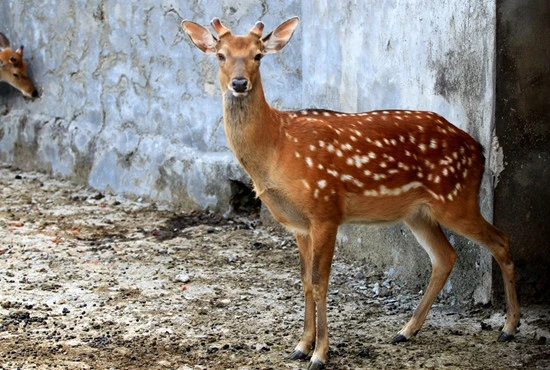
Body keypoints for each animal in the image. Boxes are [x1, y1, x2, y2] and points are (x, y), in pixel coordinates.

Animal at [183, 16, 524, 368]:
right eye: (220, 55)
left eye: (258, 55)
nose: (239, 83)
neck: (277, 147)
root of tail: (479, 149)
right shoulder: (299, 225)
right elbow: (305, 281)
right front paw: (301, 346)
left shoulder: (325, 209)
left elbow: (320, 281)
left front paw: (320, 353)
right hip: (418, 212)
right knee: (445, 256)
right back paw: (406, 330)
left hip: (456, 197)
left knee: (500, 240)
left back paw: (509, 328)